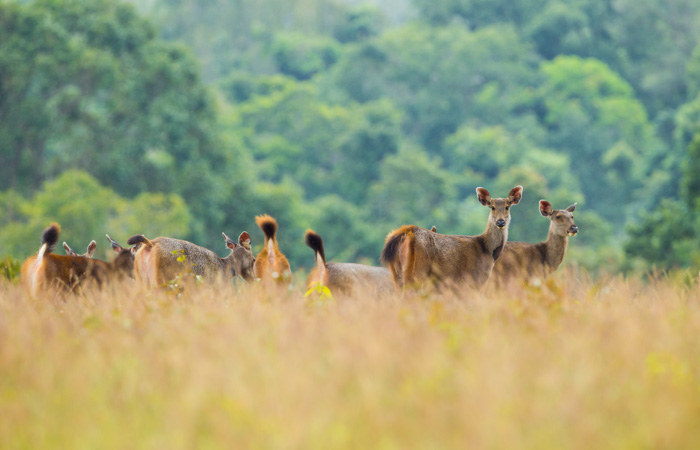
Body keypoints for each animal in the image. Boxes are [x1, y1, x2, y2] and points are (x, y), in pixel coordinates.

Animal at [126, 230, 258, 286]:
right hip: (163, 281)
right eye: (254, 259)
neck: (226, 268)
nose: (254, 279)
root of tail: (150, 243)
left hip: (142, 280)